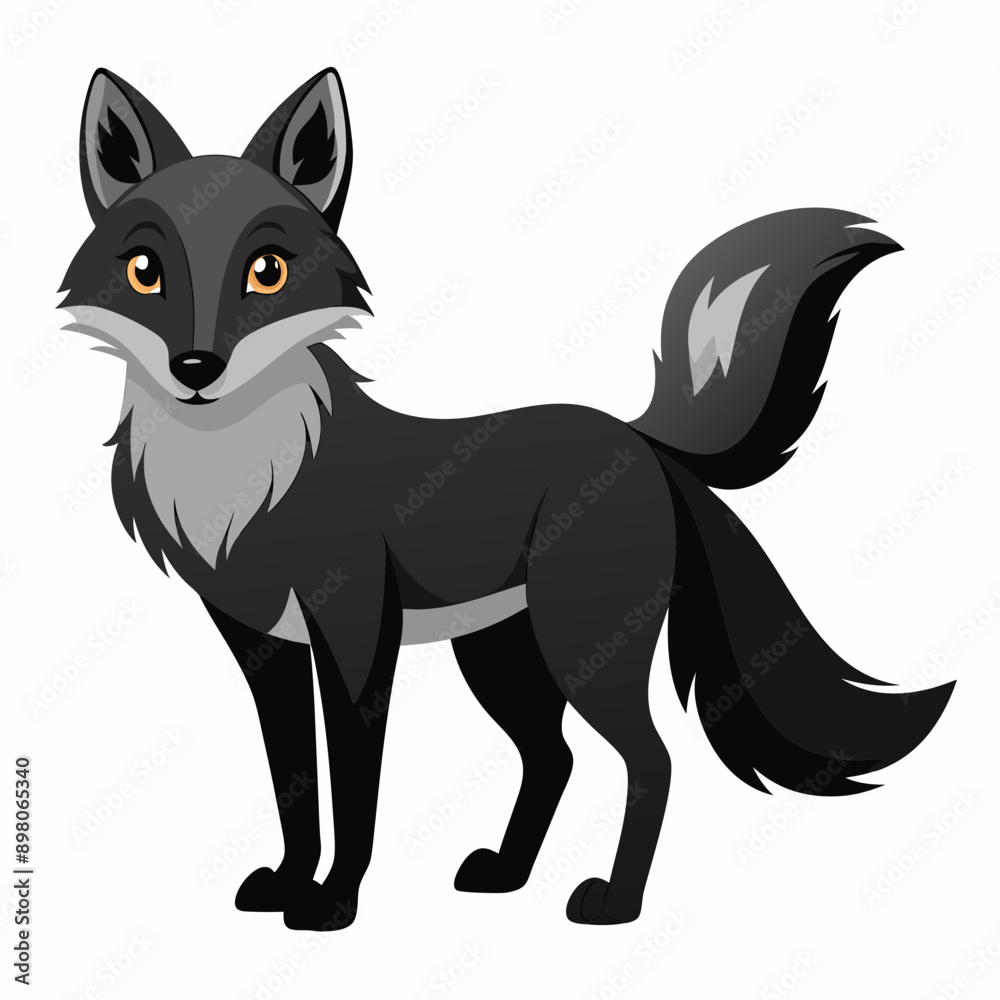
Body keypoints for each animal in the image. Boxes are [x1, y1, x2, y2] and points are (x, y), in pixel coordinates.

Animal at [61, 67, 954, 930]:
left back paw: (615, 904)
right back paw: (508, 873)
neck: (245, 480)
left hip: (581, 650)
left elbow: (353, 787)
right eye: (145, 273)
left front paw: (334, 904)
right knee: (554, 757)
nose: (196, 368)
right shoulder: (264, 648)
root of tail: (636, 437)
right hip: (500, 658)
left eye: (266, 272)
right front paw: (289, 882)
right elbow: (294, 786)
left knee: (651, 760)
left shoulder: (356, 638)